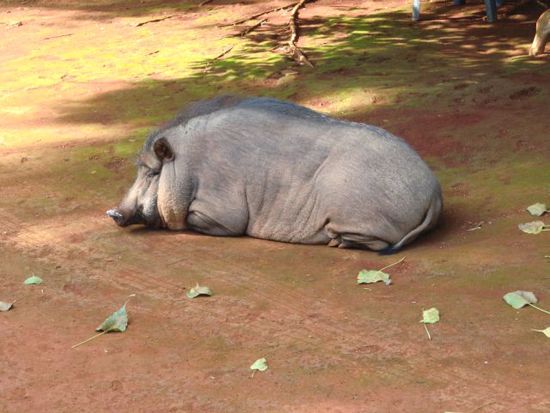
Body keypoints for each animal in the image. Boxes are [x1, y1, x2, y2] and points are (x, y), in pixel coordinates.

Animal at [108, 96, 444, 251]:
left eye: (151, 172)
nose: (113, 212)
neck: (188, 166)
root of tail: (434, 192)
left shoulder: (223, 213)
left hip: (359, 214)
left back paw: (337, 243)